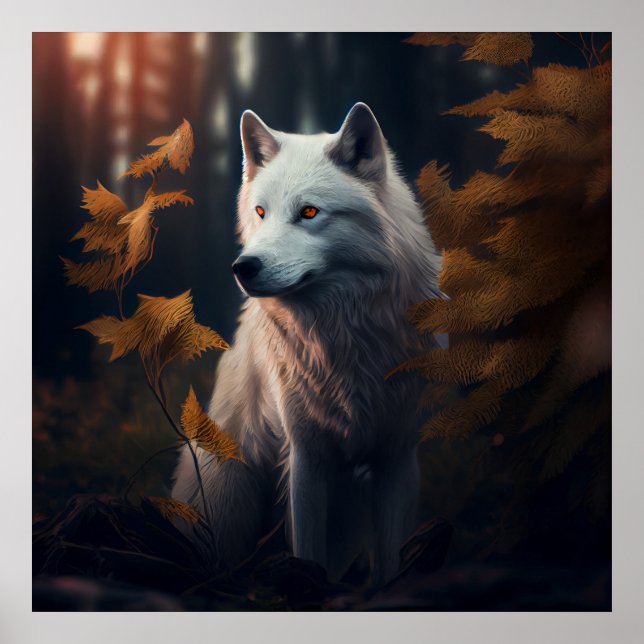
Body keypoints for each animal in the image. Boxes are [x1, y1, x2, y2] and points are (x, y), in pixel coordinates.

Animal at [171, 102, 442, 584]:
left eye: (310, 213)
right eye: (261, 212)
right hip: (227, 491)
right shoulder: (306, 457)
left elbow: (389, 559)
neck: (343, 337)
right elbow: (308, 549)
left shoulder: (397, 456)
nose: (242, 267)